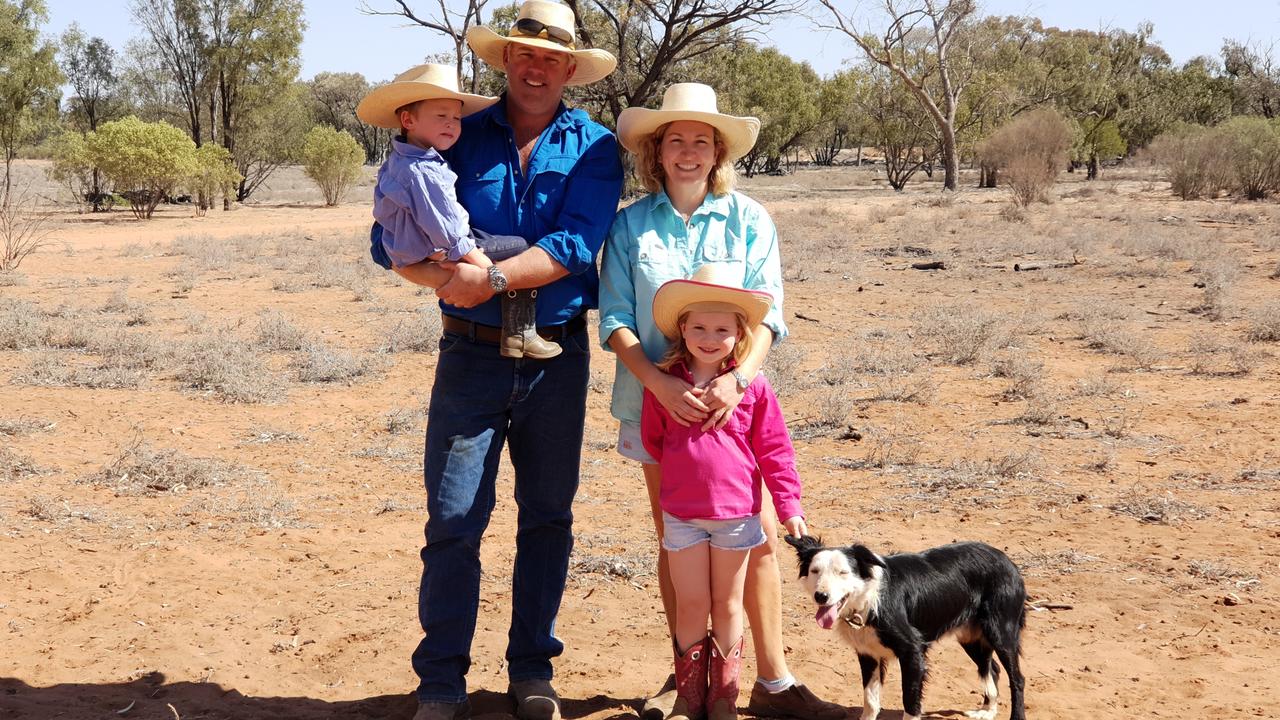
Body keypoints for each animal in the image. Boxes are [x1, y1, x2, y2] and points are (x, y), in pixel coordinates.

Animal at [778, 532, 1029, 717]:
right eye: (815, 571)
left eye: (843, 573)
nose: (821, 596)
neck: (869, 600)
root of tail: (1008, 561)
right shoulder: (868, 653)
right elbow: (870, 700)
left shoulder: (913, 652)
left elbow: (910, 701)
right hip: (971, 637)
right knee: (992, 669)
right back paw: (987, 710)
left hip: (1001, 632)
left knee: (1017, 679)